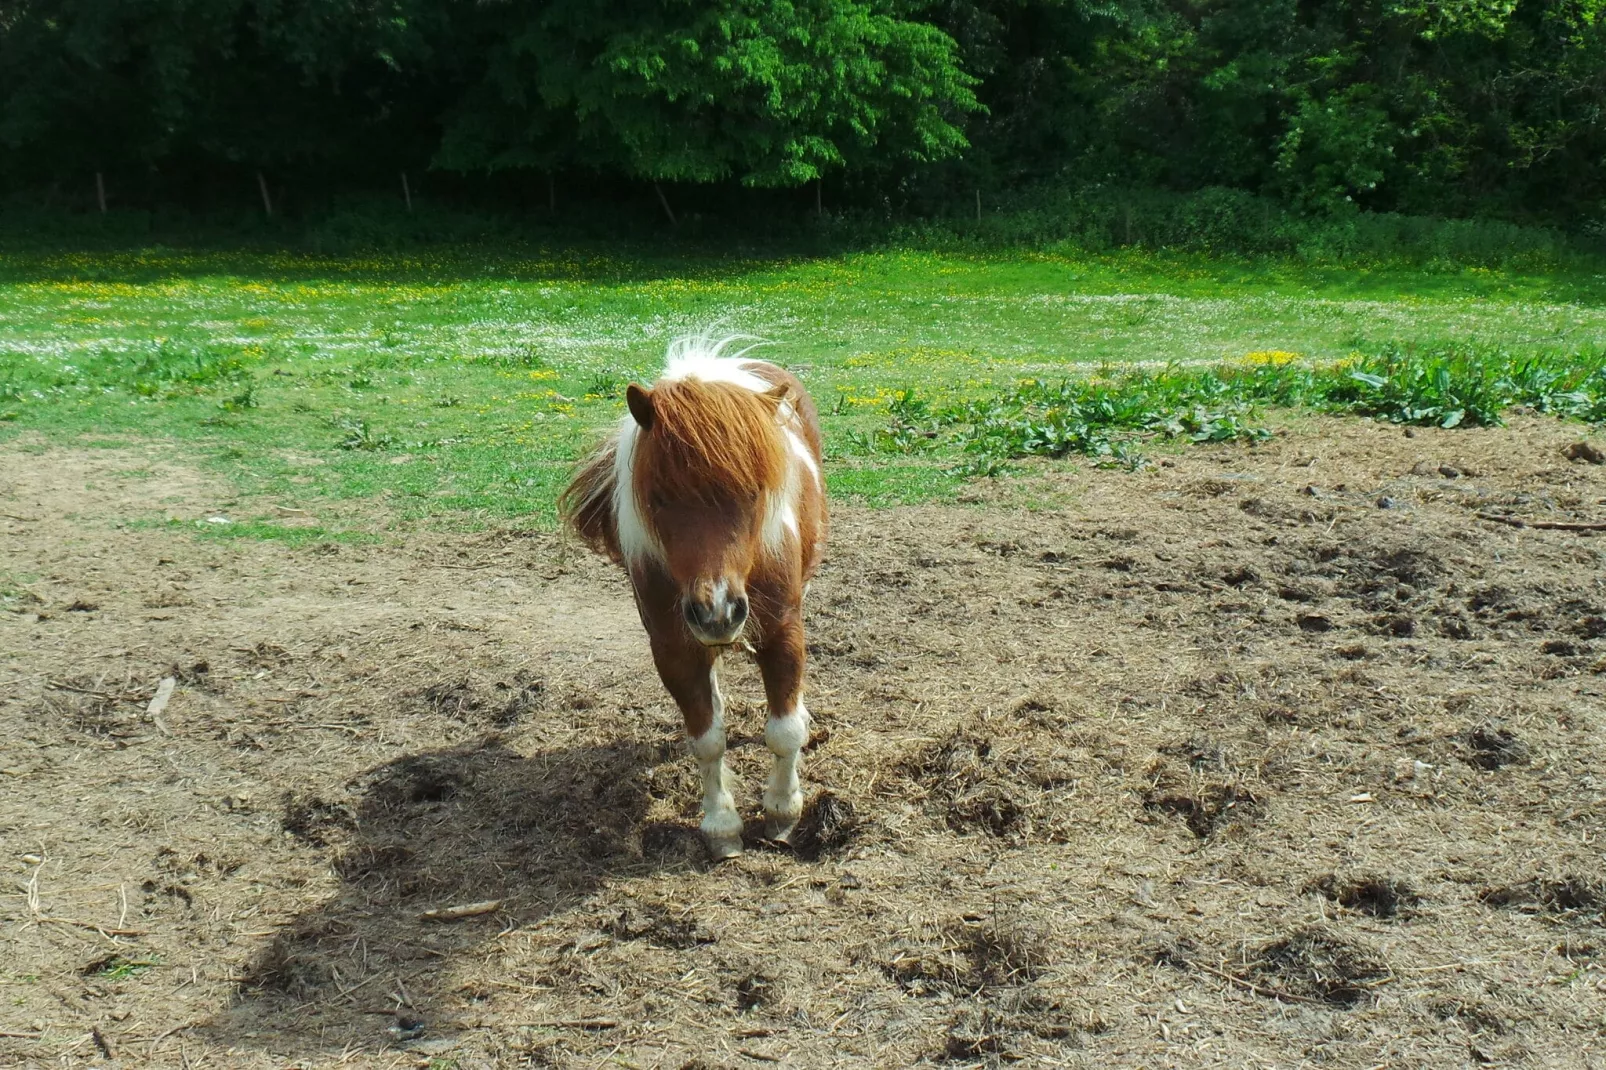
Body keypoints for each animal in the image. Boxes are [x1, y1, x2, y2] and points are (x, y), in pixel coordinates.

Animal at [558, 334, 828, 861]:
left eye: (753, 492)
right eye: (659, 497)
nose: (717, 612)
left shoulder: (783, 629)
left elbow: (783, 730)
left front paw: (783, 814)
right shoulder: (673, 647)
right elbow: (706, 739)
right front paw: (722, 828)